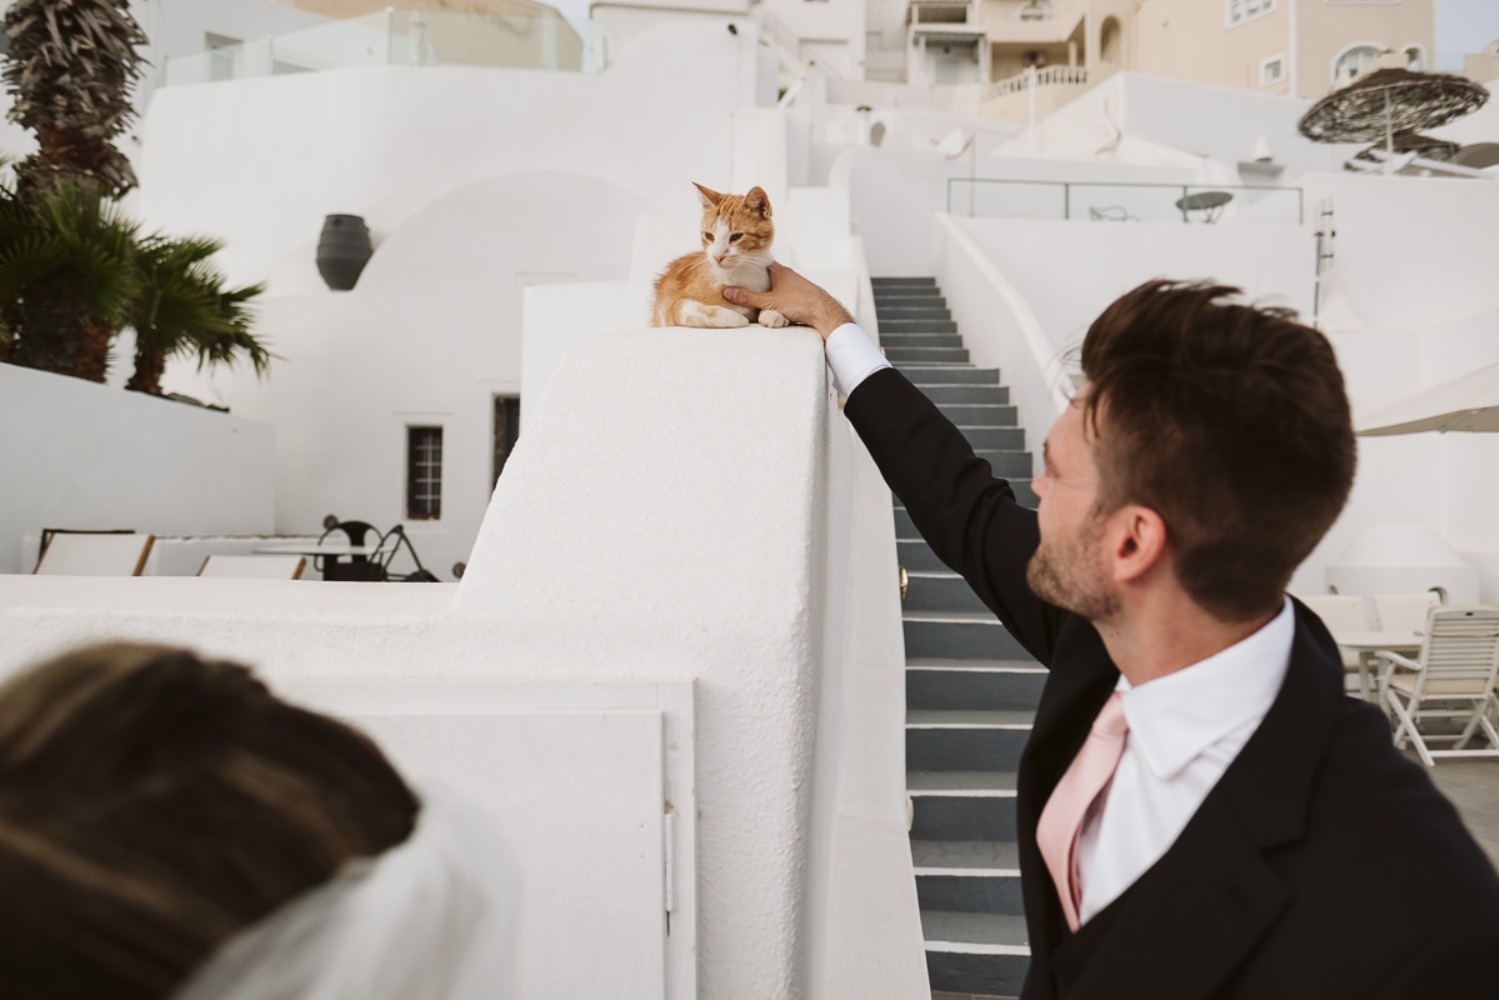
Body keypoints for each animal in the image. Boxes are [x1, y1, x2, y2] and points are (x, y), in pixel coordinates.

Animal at [650, 182, 791, 329]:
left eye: (736, 236)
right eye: (709, 235)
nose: (717, 256)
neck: (741, 273)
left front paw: (773, 313)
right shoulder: (668, 304)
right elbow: (695, 310)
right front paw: (736, 318)